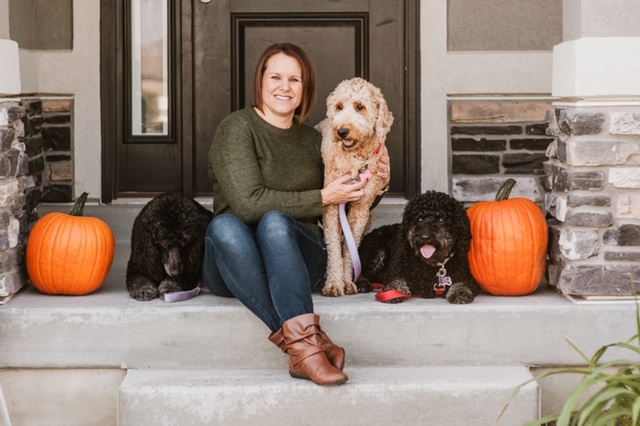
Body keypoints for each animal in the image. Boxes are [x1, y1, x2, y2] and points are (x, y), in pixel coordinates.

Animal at [318, 77, 392, 296]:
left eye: (360, 107)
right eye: (339, 107)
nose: (342, 131)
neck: (355, 160)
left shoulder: (361, 208)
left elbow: (349, 248)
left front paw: (347, 281)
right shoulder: (332, 204)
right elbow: (334, 245)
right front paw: (334, 283)